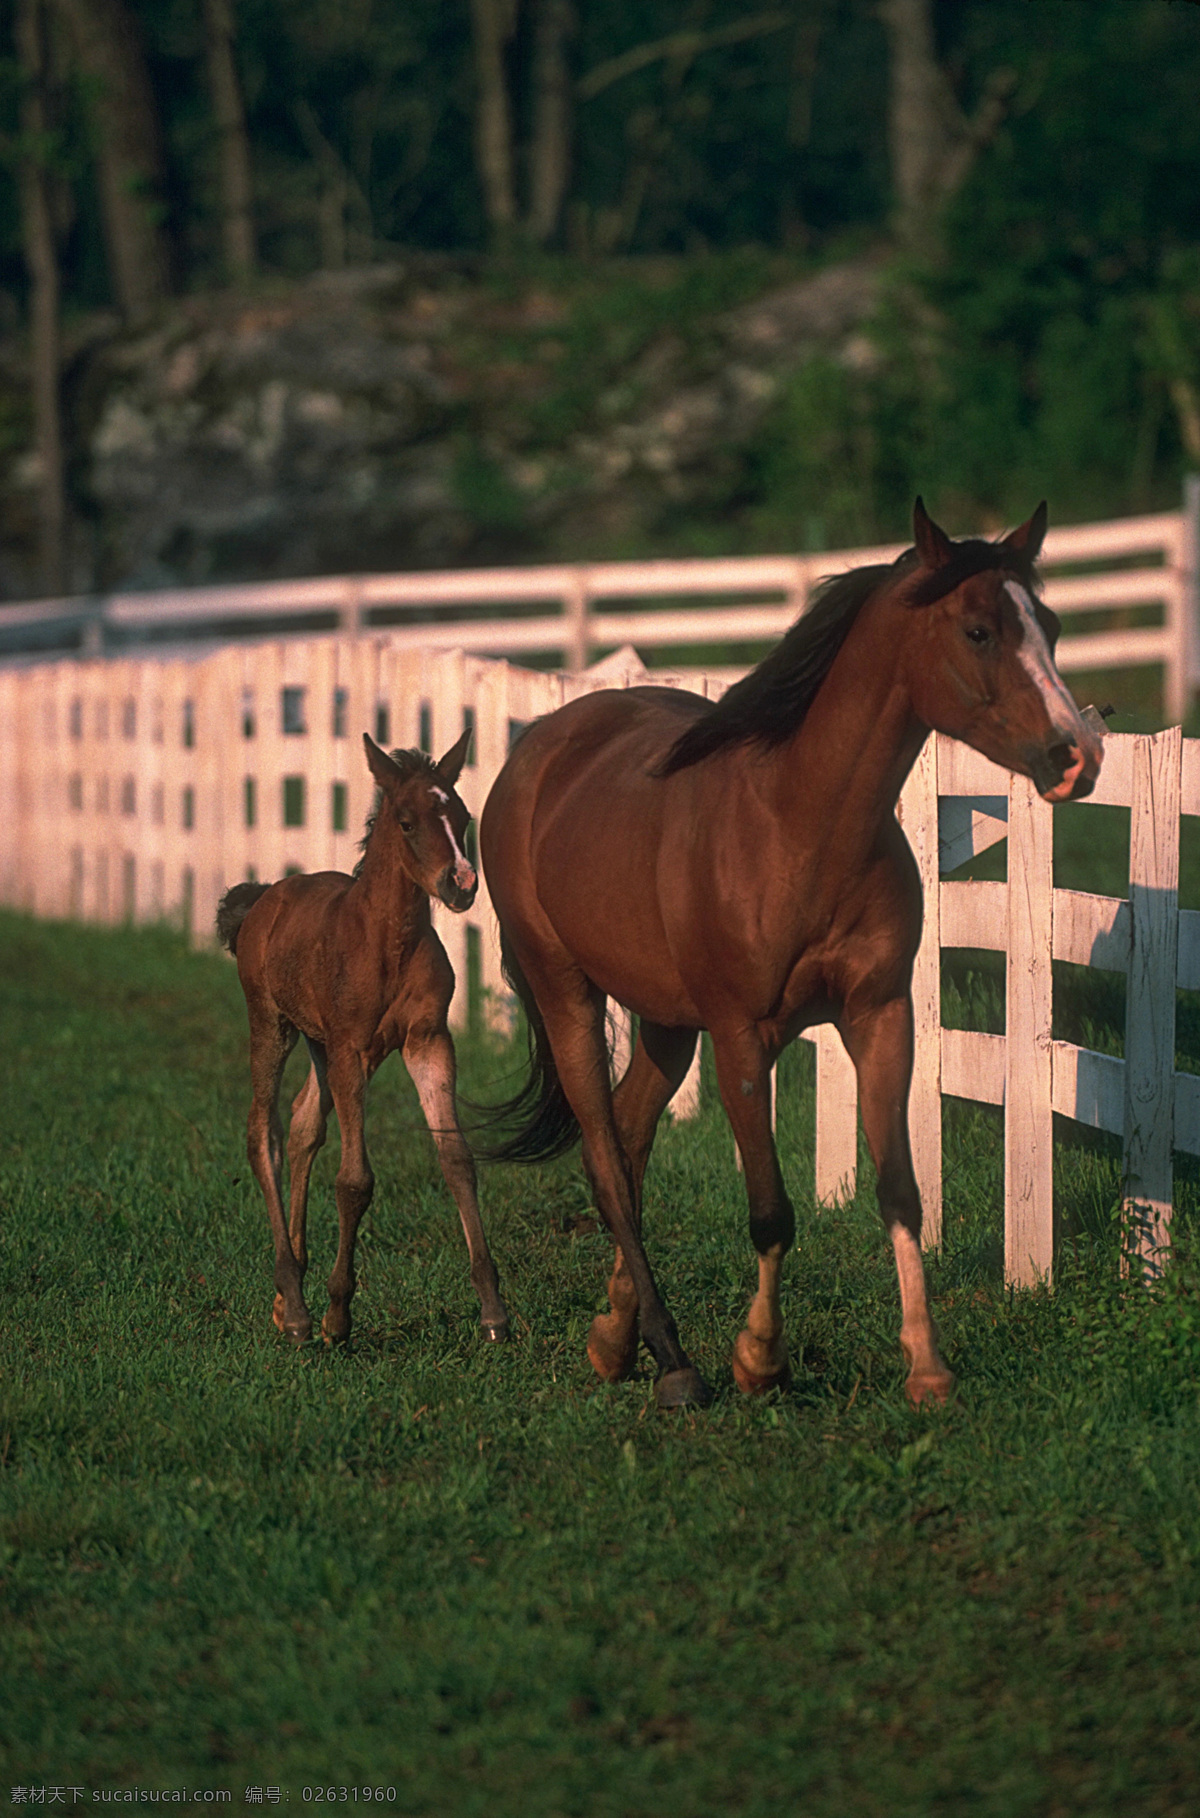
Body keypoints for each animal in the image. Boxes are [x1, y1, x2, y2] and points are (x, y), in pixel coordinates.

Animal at [218, 734, 509, 1352]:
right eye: (406, 821)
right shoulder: (351, 1048)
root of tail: (265, 898)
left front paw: (494, 1311)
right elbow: (355, 1181)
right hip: (273, 1025)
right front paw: (337, 1314)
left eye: (463, 818)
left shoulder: (428, 1041)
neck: (387, 944)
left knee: (303, 1125)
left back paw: (286, 1293)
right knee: (264, 1134)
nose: (461, 884)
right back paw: (296, 1305)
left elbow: (457, 1160)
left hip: (322, 1045)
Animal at [483, 505, 1098, 1410]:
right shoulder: (744, 1039)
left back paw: (613, 1337)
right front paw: (760, 1358)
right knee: (605, 1160)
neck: (797, 825)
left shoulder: (879, 1019)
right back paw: (672, 1360)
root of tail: (535, 753)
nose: (1075, 756)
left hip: (666, 1023)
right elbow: (771, 1209)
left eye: (1049, 626)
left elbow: (900, 1191)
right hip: (568, 996)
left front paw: (927, 1366)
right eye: (979, 629)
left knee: (630, 1140)